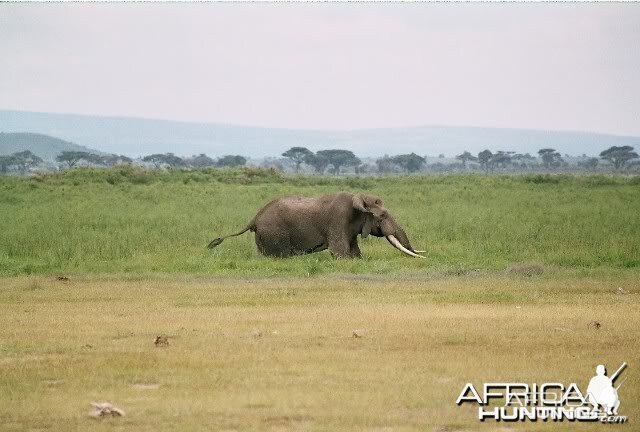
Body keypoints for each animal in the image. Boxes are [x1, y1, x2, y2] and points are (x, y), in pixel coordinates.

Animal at [206, 193, 424, 260]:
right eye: (383, 215)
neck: (359, 198)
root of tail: (255, 218)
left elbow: (354, 251)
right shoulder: (338, 219)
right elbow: (340, 252)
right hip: (273, 233)